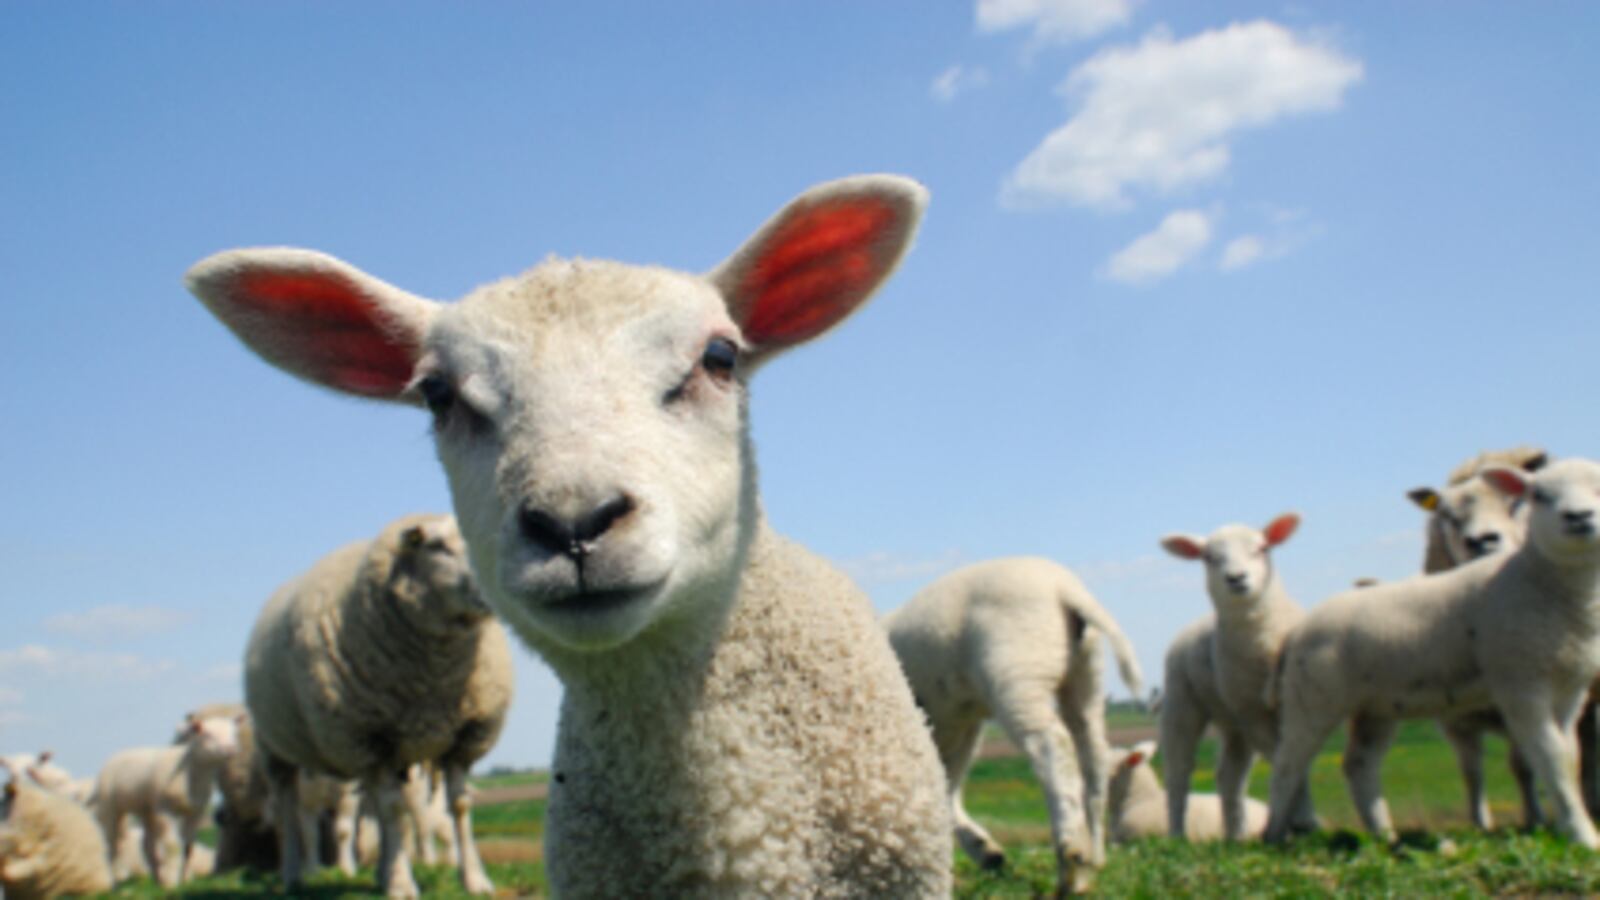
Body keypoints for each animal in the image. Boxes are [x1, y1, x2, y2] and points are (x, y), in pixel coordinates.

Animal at [90, 712, 239, 886]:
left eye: (234, 733)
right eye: (207, 734)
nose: (231, 749)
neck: (191, 771)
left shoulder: (195, 812)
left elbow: (189, 847)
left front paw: (186, 879)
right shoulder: (165, 810)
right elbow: (173, 845)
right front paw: (172, 882)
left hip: (146, 809)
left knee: (147, 845)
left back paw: (157, 879)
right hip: (111, 806)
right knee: (112, 843)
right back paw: (115, 880)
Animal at [241, 513, 512, 899]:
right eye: (437, 546)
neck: (436, 677)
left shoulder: (463, 737)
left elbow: (458, 805)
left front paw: (474, 879)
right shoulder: (372, 736)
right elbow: (394, 809)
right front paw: (402, 885)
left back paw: (381, 871)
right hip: (277, 749)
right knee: (287, 810)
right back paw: (293, 875)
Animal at [885, 557, 1144, 894]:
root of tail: (1065, 588)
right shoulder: (958, 727)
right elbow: (943, 789)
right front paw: (984, 852)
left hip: (1017, 668)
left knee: (1052, 745)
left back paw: (1071, 861)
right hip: (1084, 674)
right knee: (1094, 757)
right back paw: (1094, 858)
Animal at [1158, 514, 1318, 842]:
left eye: (1262, 548)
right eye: (1209, 557)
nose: (1235, 578)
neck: (1264, 646)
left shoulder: (1296, 705)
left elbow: (1296, 756)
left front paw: (1301, 821)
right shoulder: (1253, 713)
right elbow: (1284, 759)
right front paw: (1301, 819)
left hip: (1233, 722)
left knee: (1229, 777)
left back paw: (1236, 835)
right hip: (1183, 702)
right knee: (1179, 771)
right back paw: (1178, 834)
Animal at [1264, 458, 1600, 847]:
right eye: (1538, 495)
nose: (1578, 517)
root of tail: (1296, 632)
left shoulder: (1572, 689)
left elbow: (1570, 757)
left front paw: (1570, 826)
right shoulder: (1519, 681)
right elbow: (1551, 756)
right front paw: (1583, 836)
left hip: (1374, 705)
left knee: (1359, 765)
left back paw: (1384, 835)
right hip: (1312, 697)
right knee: (1287, 764)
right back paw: (1274, 835)